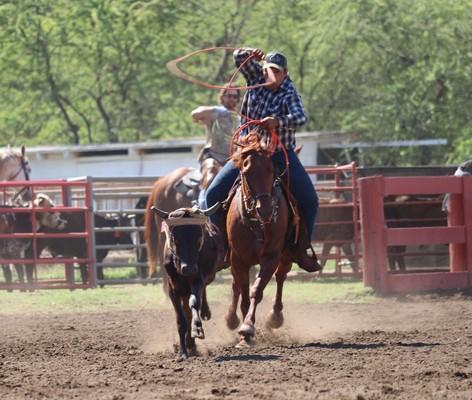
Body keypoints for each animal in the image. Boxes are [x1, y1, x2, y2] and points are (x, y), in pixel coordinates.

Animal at [224, 131, 292, 346]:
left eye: (271, 169)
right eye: (246, 172)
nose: (266, 209)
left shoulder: (271, 257)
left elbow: (256, 290)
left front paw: (247, 327)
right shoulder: (237, 258)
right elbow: (244, 292)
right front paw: (242, 329)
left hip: (286, 256)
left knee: (281, 276)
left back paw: (275, 316)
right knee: (236, 285)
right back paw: (231, 318)